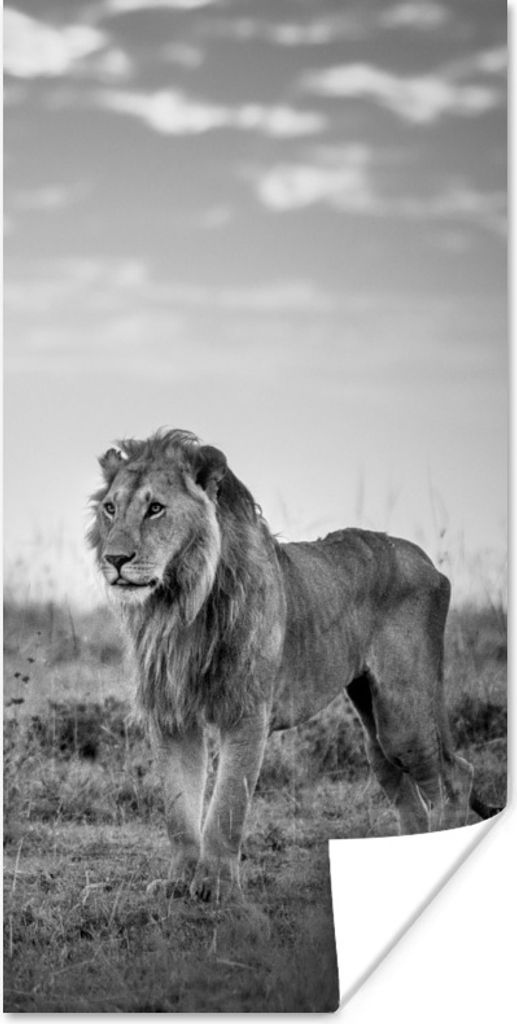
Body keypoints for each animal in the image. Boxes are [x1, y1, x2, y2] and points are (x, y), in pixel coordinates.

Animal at [88, 428, 497, 902]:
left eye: (155, 508)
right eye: (110, 508)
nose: (115, 560)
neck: (180, 604)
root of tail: (429, 562)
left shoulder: (247, 711)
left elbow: (227, 805)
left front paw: (215, 885)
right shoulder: (172, 716)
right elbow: (178, 808)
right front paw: (178, 882)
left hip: (404, 721)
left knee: (456, 777)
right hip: (373, 727)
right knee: (408, 796)